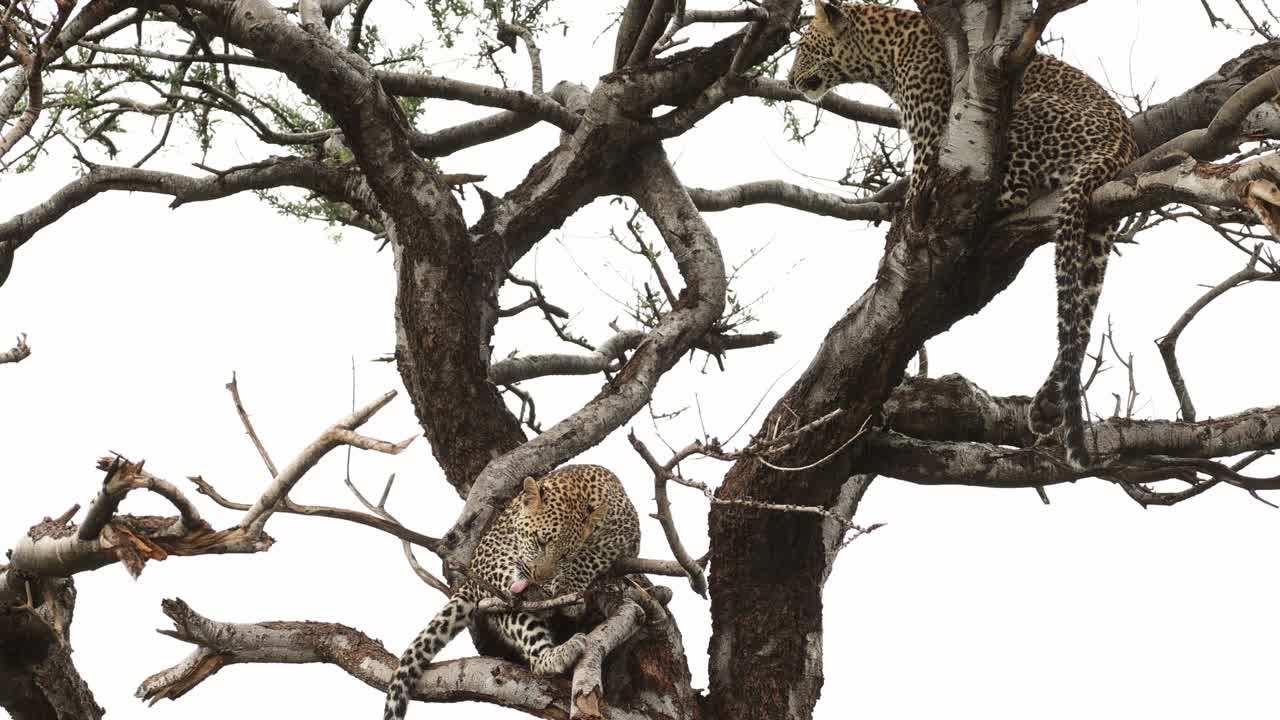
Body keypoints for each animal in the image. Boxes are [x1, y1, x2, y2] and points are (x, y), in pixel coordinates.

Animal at [383, 464, 640, 720]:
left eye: (564, 555)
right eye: (539, 541)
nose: (539, 578)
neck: (578, 491)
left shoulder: (626, 534)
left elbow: (589, 557)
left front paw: (569, 586)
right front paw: (559, 593)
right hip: (497, 596)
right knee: (534, 657)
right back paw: (557, 648)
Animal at [788, 0, 1136, 468]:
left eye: (805, 47)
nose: (790, 80)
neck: (883, 54)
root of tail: (1123, 145)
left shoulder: (930, 133)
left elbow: (919, 187)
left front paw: (901, 221)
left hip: (1025, 115)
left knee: (1014, 191)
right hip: (1096, 225)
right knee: (1080, 309)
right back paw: (1046, 407)